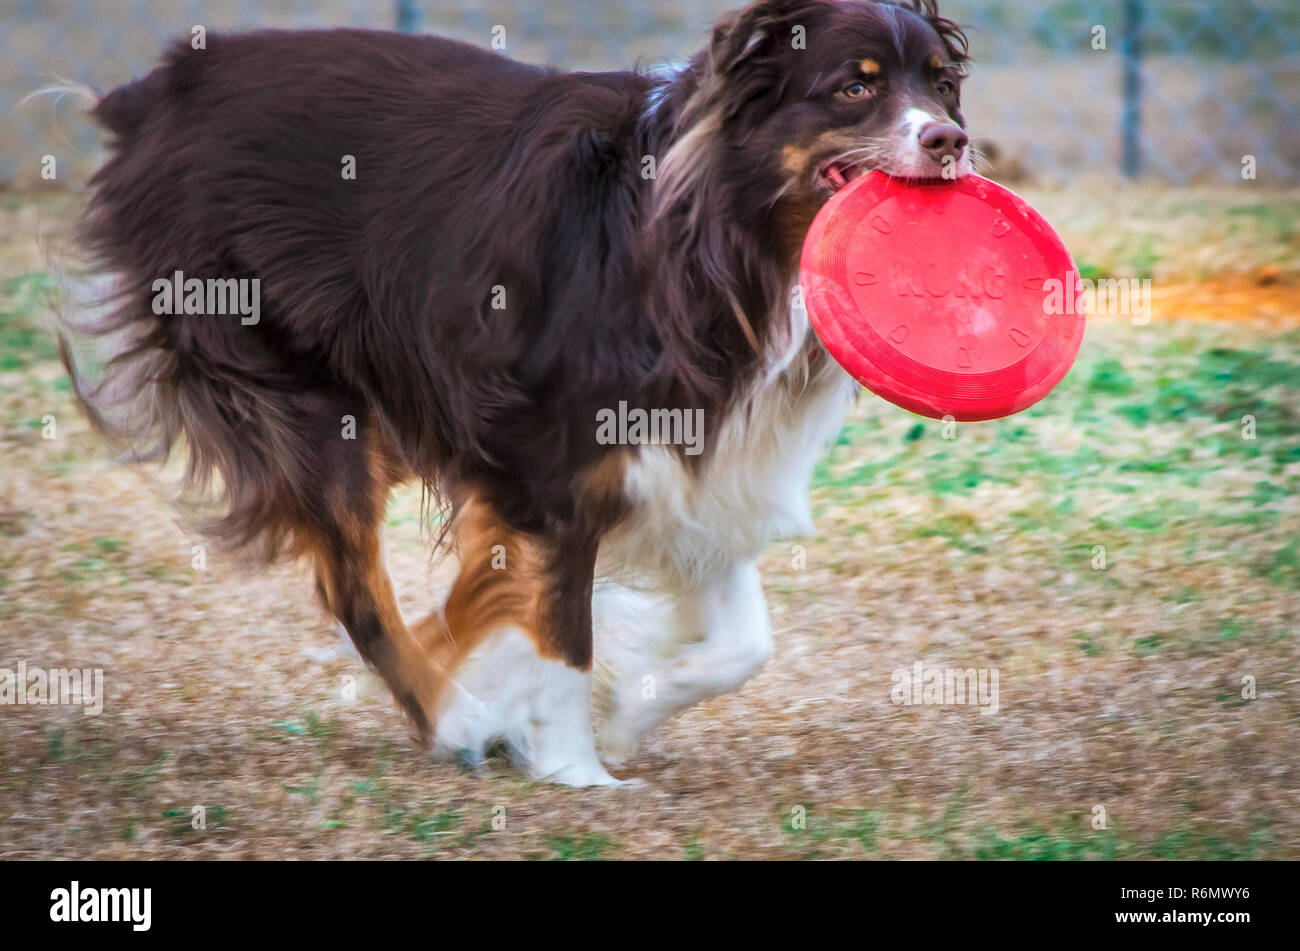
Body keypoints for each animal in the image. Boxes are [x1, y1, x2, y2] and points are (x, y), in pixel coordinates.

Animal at [65, 0, 972, 784]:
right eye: (855, 86)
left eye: (939, 83)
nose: (953, 140)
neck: (720, 232)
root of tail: (158, 91)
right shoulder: (550, 464)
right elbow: (561, 634)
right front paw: (578, 767)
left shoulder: (690, 457)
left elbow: (745, 641)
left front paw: (632, 710)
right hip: (291, 383)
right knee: (355, 588)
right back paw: (452, 719)